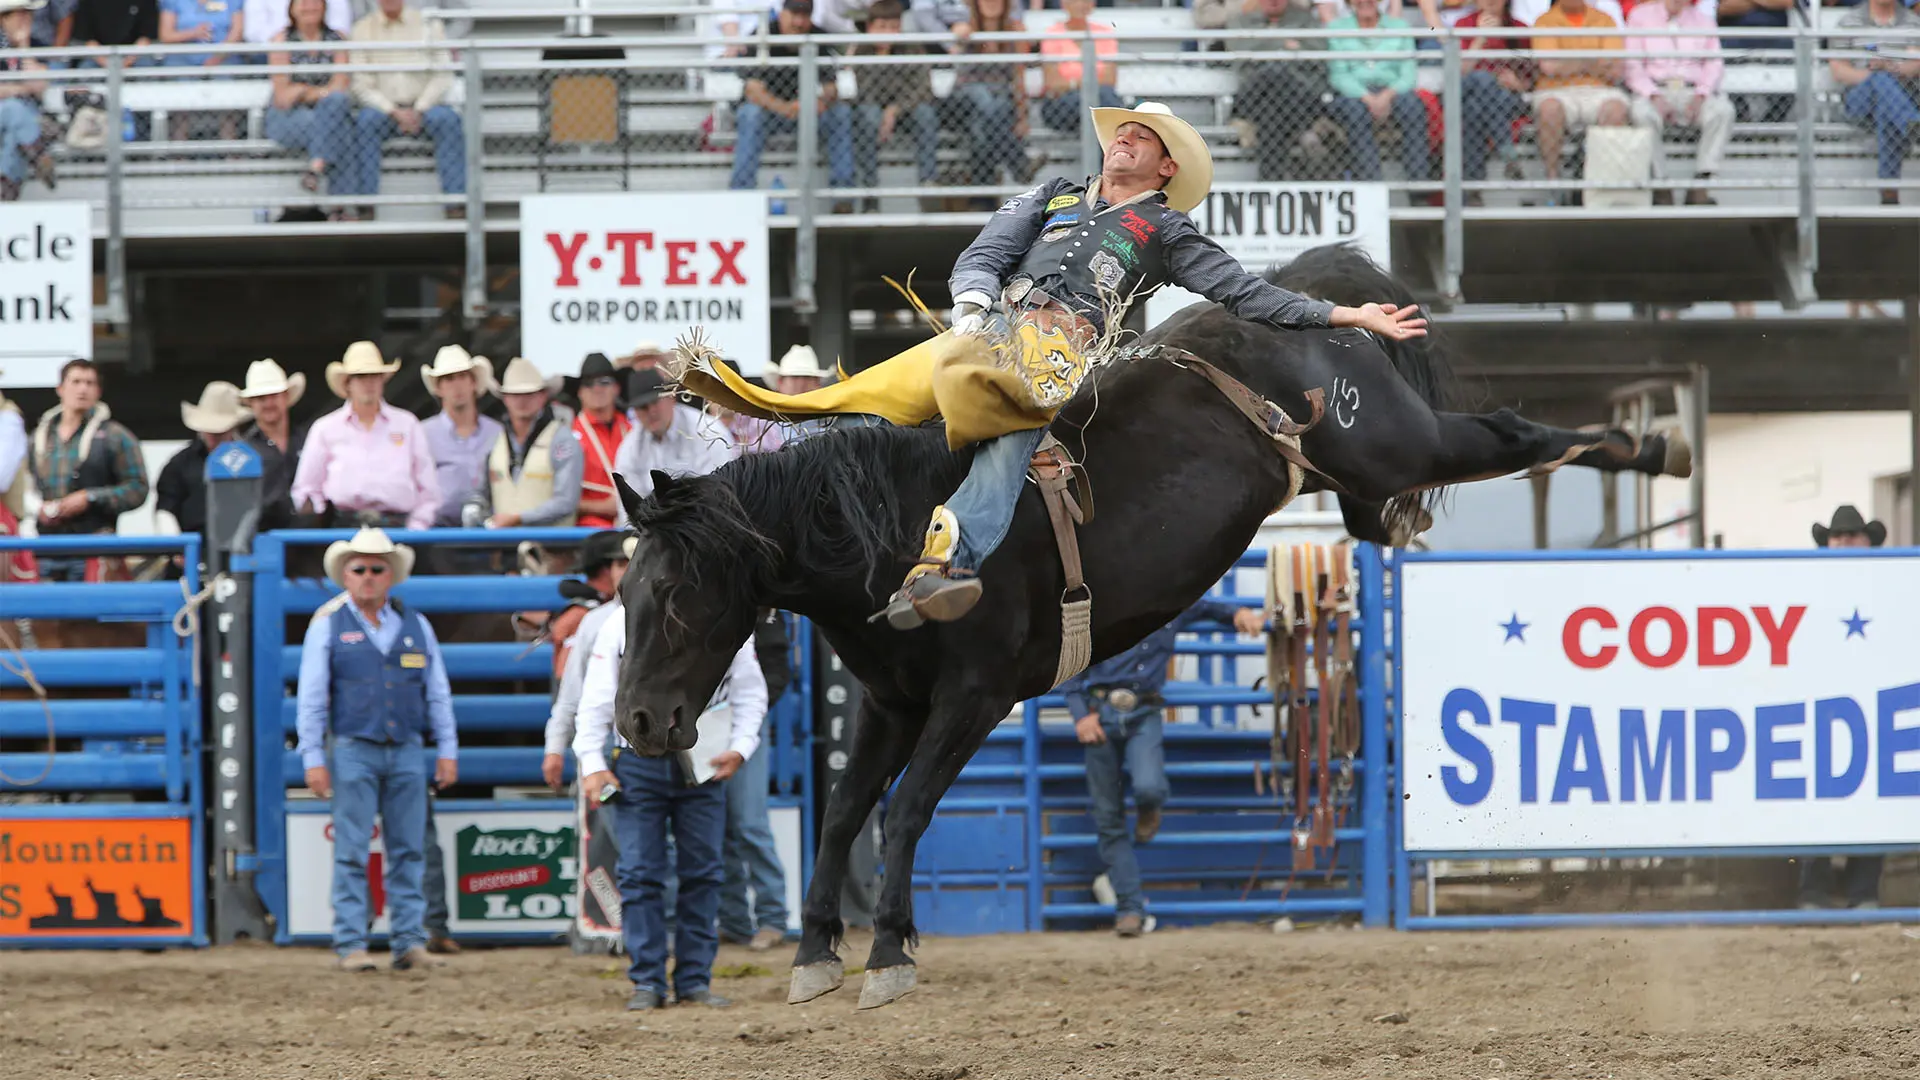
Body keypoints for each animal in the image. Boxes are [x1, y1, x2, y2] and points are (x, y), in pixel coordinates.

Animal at [606, 244, 1689, 1006]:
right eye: (623, 596)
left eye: (674, 596)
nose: (640, 725)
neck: (898, 526)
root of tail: (1299, 299)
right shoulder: (889, 701)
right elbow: (842, 815)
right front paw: (815, 955)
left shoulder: (974, 697)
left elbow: (905, 811)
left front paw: (887, 957)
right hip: (1362, 477)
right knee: (1420, 490)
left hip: (1399, 440)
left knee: (1518, 434)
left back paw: (1656, 445)